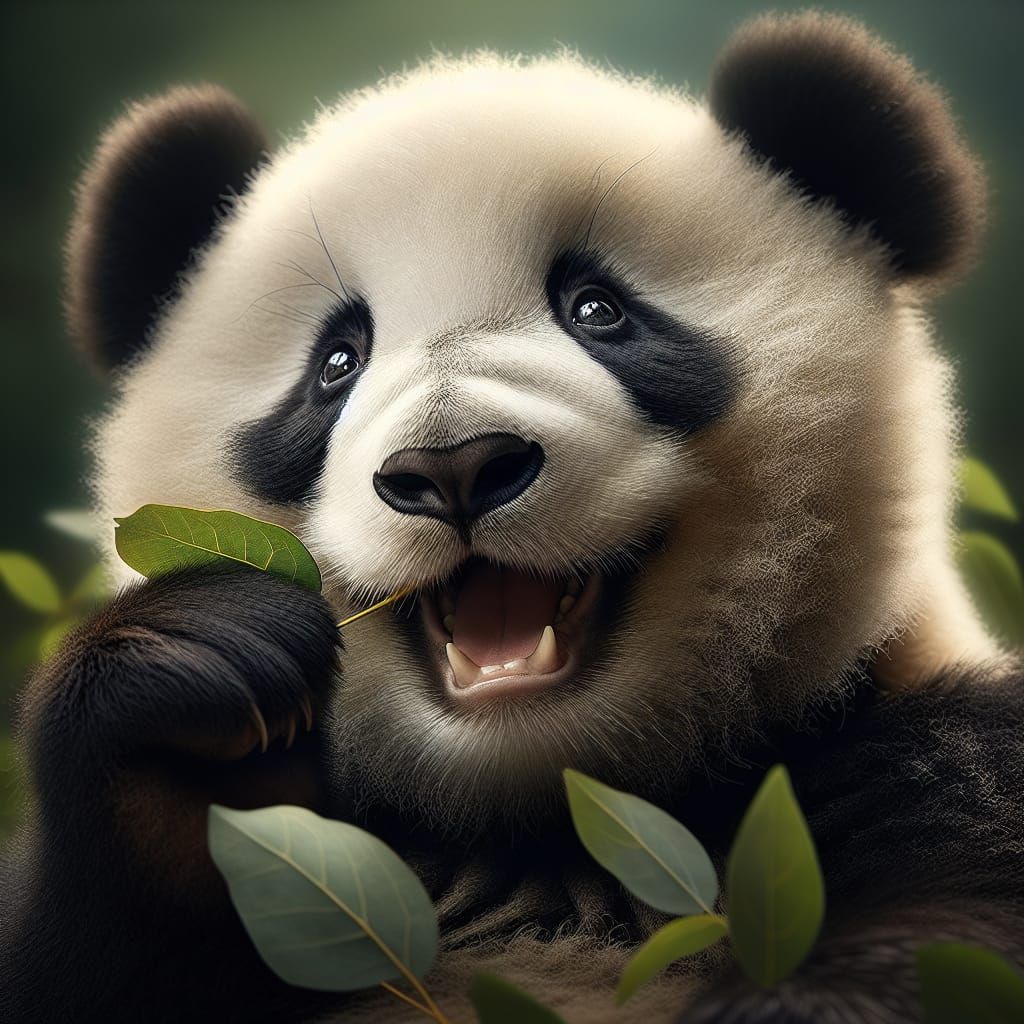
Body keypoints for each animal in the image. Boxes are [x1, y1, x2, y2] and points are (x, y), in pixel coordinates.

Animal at [2, 11, 1023, 1023]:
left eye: (598, 309)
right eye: (336, 363)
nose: (453, 466)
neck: (552, 811)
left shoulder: (924, 770)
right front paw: (188, 684)